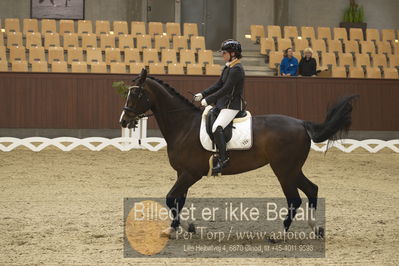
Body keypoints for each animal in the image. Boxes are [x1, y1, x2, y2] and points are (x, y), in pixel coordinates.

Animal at [120, 69, 358, 238]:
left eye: (136, 93)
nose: (124, 121)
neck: (184, 125)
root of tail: (301, 123)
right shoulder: (182, 173)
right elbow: (178, 201)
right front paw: (178, 227)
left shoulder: (190, 173)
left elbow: (171, 199)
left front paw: (185, 226)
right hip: (292, 169)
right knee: (311, 189)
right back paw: (315, 228)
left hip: (284, 170)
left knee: (295, 199)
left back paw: (280, 234)